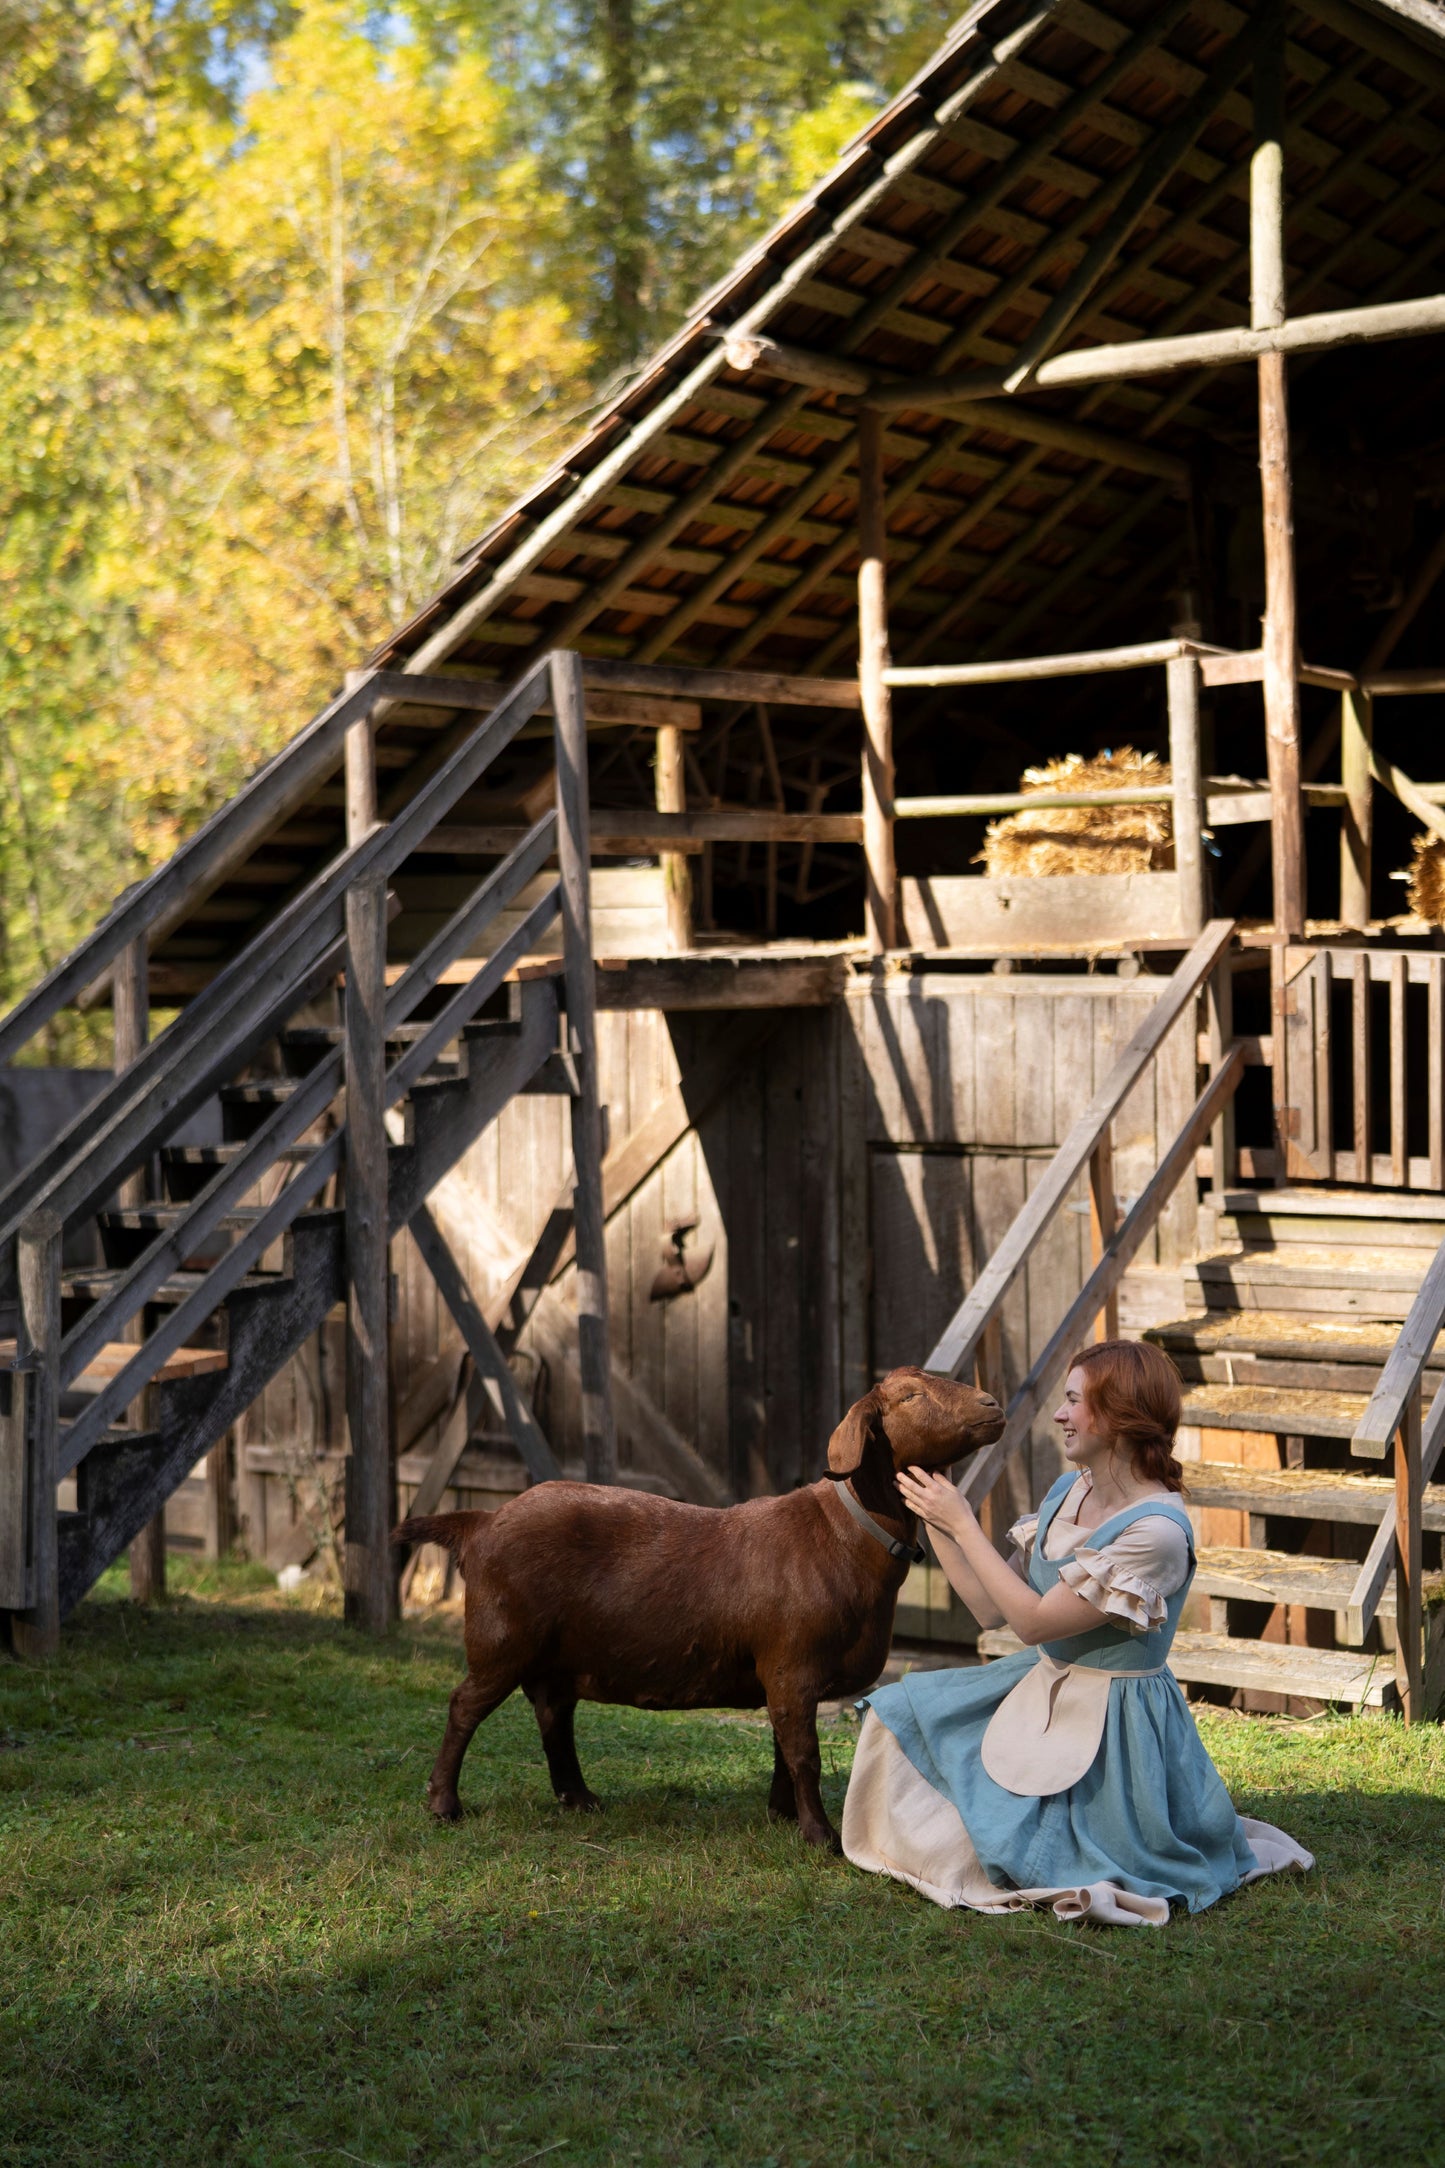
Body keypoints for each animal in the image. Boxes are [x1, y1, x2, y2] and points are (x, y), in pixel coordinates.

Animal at [396, 1361, 1005, 1838]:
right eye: (909, 1396)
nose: (992, 1404)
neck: (845, 1536)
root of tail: (482, 1521)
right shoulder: (792, 1665)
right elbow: (803, 1753)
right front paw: (819, 1836)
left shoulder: (782, 1676)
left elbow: (783, 1748)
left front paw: (782, 1817)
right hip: (502, 1638)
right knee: (465, 1706)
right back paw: (444, 1804)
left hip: (556, 1652)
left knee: (553, 1713)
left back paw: (579, 1799)